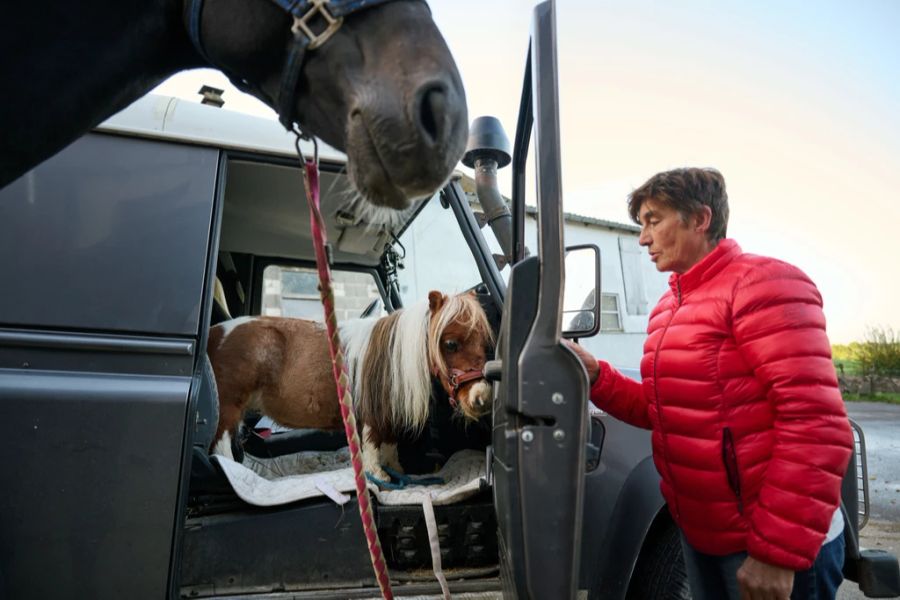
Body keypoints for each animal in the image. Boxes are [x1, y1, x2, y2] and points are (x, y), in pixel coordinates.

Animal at [207, 288, 496, 480]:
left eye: (485, 342)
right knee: (221, 449)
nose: (481, 396)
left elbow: (389, 447)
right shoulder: (371, 416)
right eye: (451, 344)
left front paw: (396, 471)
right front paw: (379, 476)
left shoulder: (387, 416)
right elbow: (372, 445)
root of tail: (214, 333)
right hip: (228, 411)